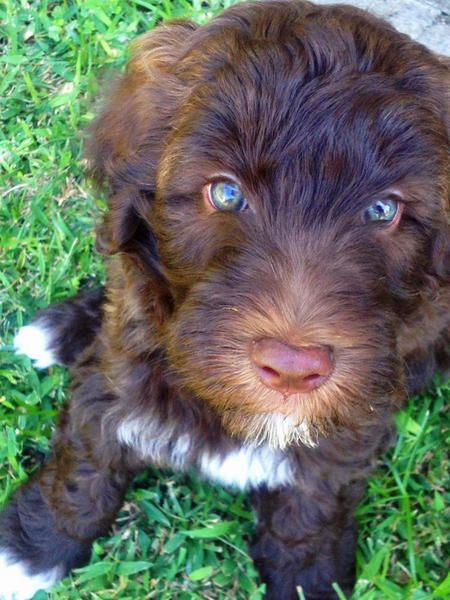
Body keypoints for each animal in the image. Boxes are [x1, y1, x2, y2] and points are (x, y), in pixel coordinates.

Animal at [1, 1, 448, 600]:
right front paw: (33, 546)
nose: (292, 368)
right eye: (226, 193)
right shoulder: (122, 364)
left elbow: (316, 498)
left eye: (383, 210)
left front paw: (307, 575)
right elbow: (86, 458)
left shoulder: (358, 412)